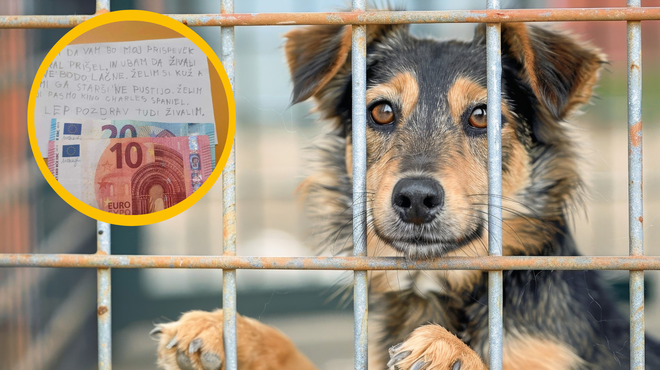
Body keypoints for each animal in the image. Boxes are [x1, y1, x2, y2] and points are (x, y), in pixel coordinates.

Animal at [152, 19, 660, 370]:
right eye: (381, 111)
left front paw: (451, 353)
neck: (436, 289)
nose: (415, 198)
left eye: (482, 116)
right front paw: (228, 331)